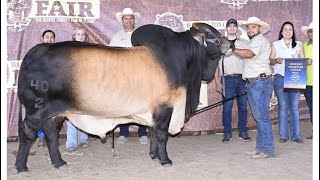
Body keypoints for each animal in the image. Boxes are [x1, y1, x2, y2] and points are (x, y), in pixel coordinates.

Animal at [15, 23, 232, 172]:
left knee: (51, 133)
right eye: (210, 35)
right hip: (38, 109)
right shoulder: (165, 108)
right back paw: (21, 166)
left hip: (56, 113)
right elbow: (162, 135)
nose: (230, 43)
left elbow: (153, 133)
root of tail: (36, 50)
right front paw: (165, 160)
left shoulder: (153, 111)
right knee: (28, 133)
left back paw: (59, 162)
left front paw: (153, 155)